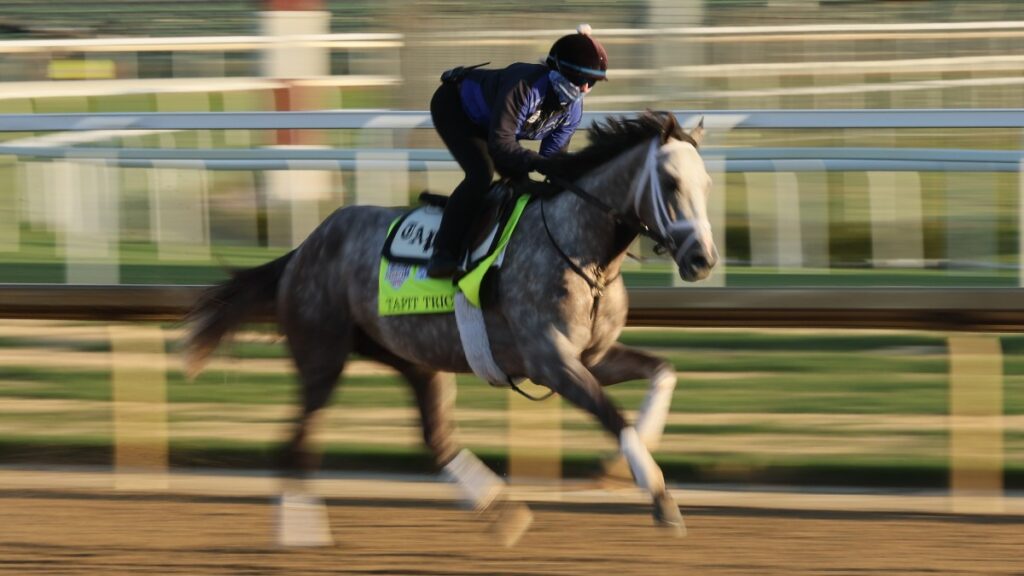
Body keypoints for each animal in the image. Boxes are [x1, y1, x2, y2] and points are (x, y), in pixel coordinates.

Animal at [182, 111, 712, 541]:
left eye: (706, 183)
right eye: (669, 182)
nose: (702, 260)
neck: (582, 251)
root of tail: (304, 248)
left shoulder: (591, 357)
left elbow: (662, 372)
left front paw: (626, 466)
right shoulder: (552, 361)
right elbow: (614, 417)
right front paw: (658, 495)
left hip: (414, 358)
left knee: (434, 438)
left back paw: (503, 512)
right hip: (321, 355)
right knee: (295, 442)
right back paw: (301, 534)